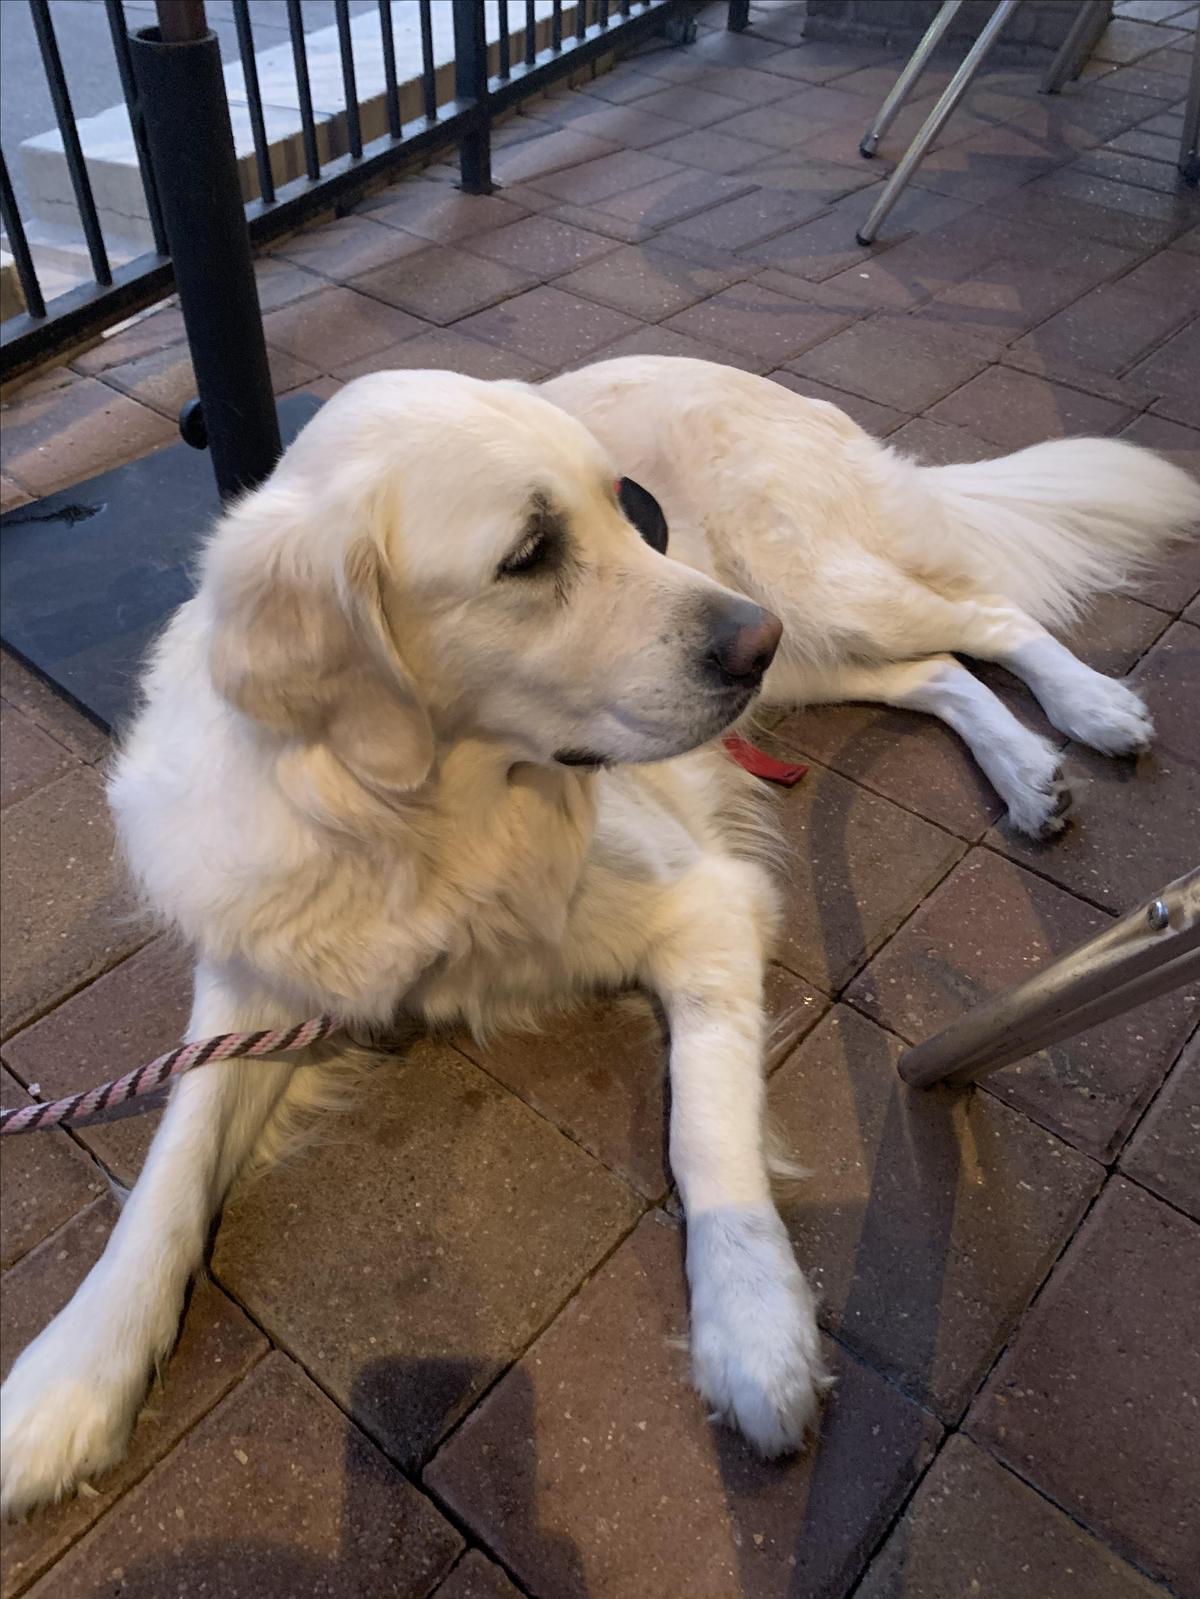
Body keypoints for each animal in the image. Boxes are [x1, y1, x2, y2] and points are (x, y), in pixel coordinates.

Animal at [2, 356, 1200, 1515]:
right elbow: (170, 1169)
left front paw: (754, 1329)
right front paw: (71, 1375)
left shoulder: (707, 904)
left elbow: (704, 1134)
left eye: (630, 509)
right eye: (529, 555)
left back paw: (1090, 712)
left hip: (816, 596)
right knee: (937, 673)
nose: (747, 641)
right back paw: (1029, 771)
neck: (430, 830)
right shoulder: (257, 982)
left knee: (986, 618)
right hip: (814, 648)